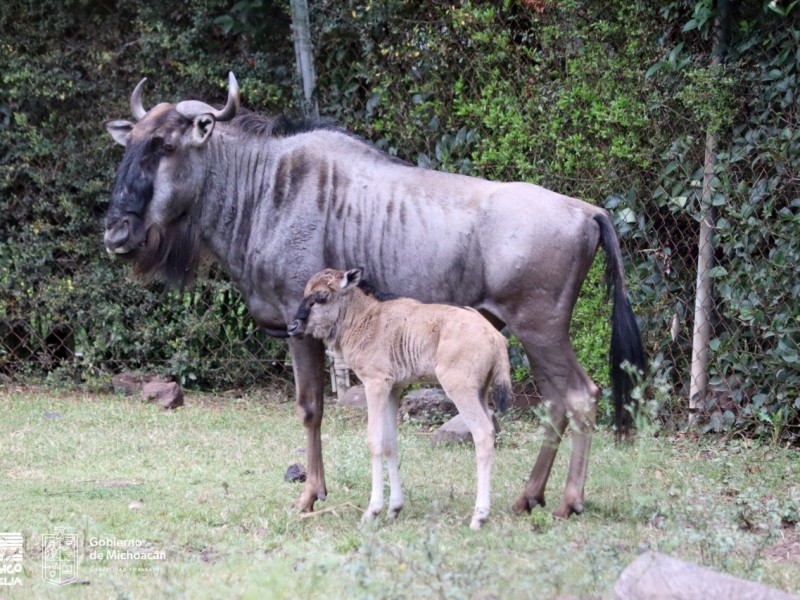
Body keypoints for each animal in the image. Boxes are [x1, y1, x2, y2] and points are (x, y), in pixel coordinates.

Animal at [290, 268, 512, 528]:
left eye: (321, 296)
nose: (292, 326)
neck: (365, 316)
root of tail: (496, 337)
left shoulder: (375, 384)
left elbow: (374, 442)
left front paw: (373, 509)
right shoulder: (393, 388)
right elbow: (390, 444)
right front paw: (394, 508)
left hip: (460, 390)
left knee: (483, 435)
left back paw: (480, 515)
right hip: (480, 392)